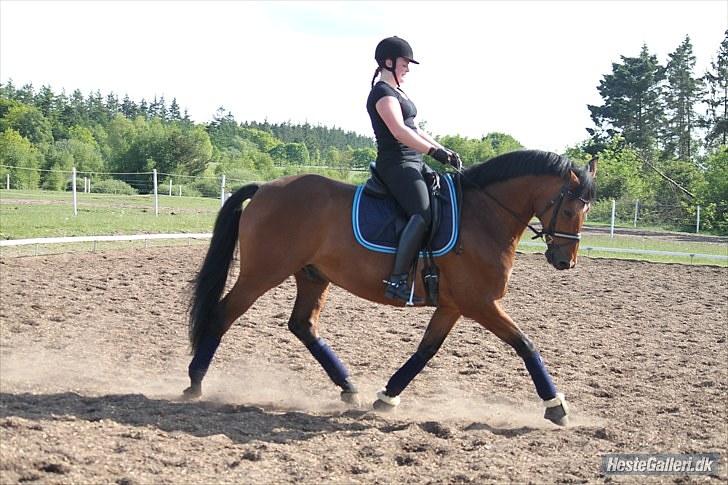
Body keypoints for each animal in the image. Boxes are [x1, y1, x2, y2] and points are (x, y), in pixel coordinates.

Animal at [183, 149, 596, 426]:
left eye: (587, 211)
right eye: (571, 209)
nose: (566, 262)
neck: (483, 217)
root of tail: (266, 188)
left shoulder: (453, 306)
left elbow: (425, 351)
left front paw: (387, 397)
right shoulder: (480, 303)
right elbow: (525, 344)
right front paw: (556, 405)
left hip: (312, 276)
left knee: (303, 325)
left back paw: (348, 387)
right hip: (262, 274)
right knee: (223, 314)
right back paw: (195, 383)